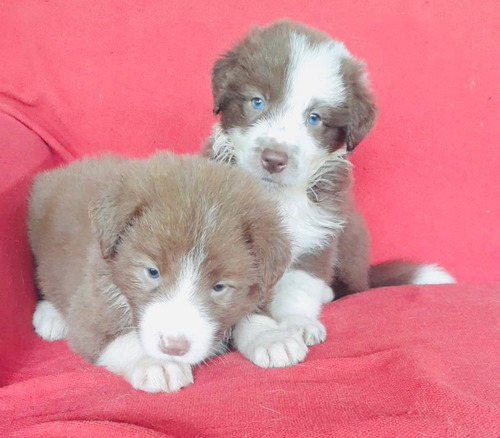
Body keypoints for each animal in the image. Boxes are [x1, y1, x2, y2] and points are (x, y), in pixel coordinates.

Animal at [27, 152, 292, 392]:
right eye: (152, 272)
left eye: (219, 287)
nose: (173, 347)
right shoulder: (91, 311)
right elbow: (122, 339)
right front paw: (155, 362)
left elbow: (252, 312)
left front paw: (270, 337)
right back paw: (50, 316)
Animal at [204, 20, 458, 368]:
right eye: (257, 102)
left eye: (315, 118)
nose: (274, 159)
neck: (277, 197)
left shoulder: (318, 232)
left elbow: (300, 287)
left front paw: (298, 324)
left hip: (350, 237)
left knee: (352, 287)